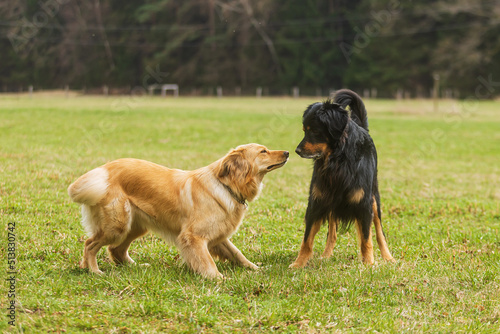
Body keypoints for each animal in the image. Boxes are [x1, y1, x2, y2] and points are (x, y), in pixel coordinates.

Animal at [68, 145, 288, 278]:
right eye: (263, 151)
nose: (287, 152)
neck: (226, 185)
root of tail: (103, 170)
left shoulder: (218, 235)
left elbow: (238, 254)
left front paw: (256, 269)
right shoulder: (193, 237)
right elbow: (207, 262)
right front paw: (217, 278)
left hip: (134, 226)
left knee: (116, 250)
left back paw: (134, 267)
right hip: (117, 226)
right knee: (90, 244)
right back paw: (94, 270)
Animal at [292, 89, 392, 268]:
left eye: (315, 131)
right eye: (304, 130)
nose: (297, 150)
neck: (338, 160)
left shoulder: (364, 204)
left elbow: (366, 238)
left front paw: (368, 264)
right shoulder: (317, 202)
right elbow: (307, 239)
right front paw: (299, 264)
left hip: (375, 198)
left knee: (379, 231)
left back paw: (388, 257)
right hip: (332, 201)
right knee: (332, 233)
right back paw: (326, 255)